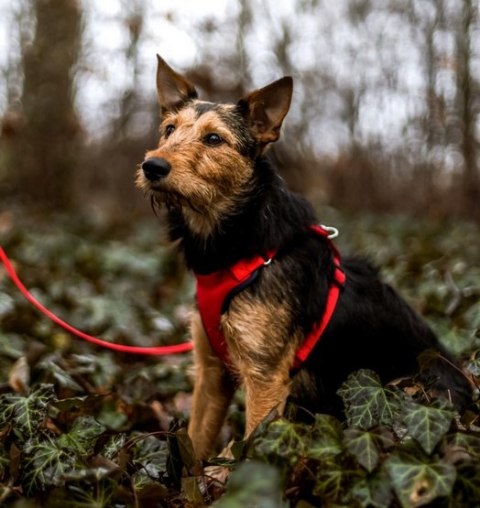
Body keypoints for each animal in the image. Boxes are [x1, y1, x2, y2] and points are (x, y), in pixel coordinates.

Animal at [136, 54, 472, 460]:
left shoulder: (266, 380)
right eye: (168, 129)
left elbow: (252, 446)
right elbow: (196, 445)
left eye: (214, 138)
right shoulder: (211, 372)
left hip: (419, 387)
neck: (240, 242)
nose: (152, 166)